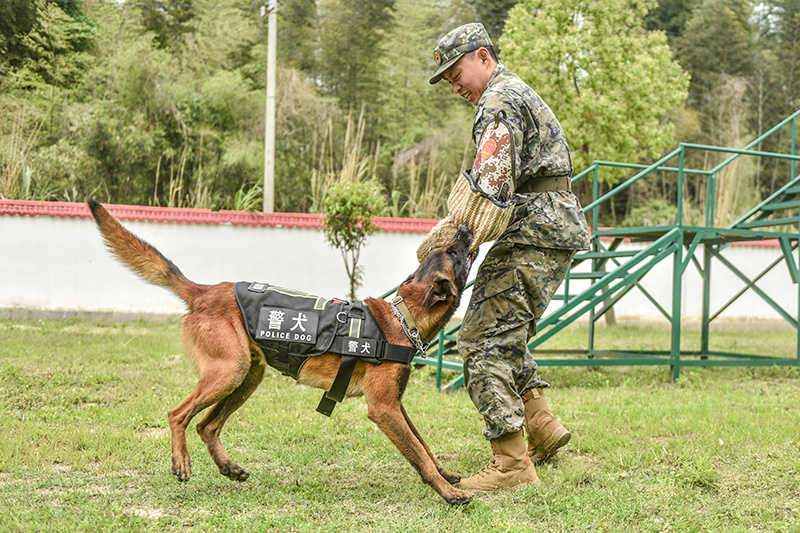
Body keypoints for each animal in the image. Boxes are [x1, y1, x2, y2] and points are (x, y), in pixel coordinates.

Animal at [87, 198, 476, 502]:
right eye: (454, 252)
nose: (465, 228)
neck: (403, 315)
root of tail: (204, 291)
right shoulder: (384, 409)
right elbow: (418, 454)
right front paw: (448, 492)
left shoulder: (397, 405)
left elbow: (422, 444)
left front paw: (447, 475)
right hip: (229, 371)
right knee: (178, 414)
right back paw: (181, 460)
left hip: (247, 377)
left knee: (207, 426)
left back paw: (228, 468)